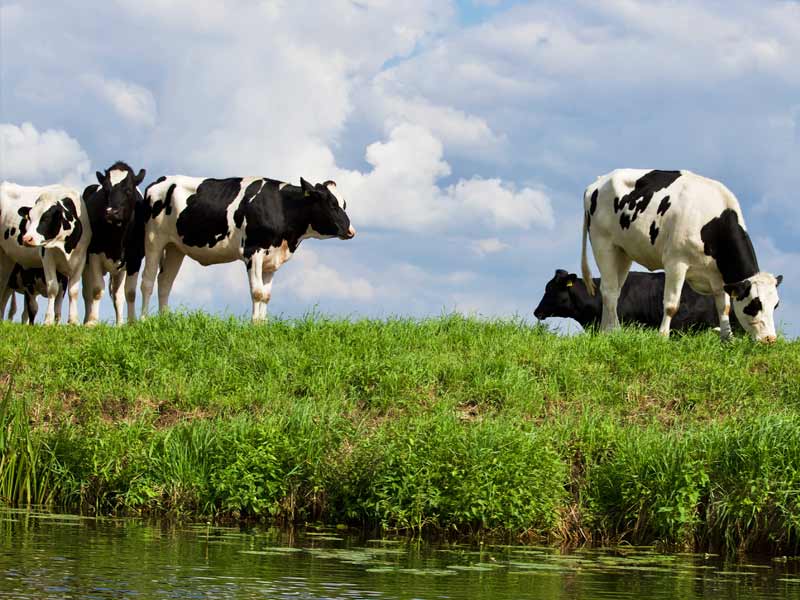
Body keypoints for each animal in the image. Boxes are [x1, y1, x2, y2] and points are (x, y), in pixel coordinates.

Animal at [0, 182, 90, 326]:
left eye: (46, 218)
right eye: (29, 217)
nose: (26, 238)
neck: (65, 246)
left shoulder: (80, 258)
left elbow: (73, 291)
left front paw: (73, 321)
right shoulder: (47, 257)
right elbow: (52, 288)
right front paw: (48, 321)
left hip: (8, 258)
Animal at [83, 159, 148, 324]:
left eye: (129, 190)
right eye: (106, 190)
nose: (112, 212)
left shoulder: (135, 259)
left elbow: (129, 293)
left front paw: (131, 322)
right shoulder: (93, 254)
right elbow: (96, 290)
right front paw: (92, 322)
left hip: (120, 270)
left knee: (118, 295)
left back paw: (119, 324)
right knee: (86, 292)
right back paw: (85, 320)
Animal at [142, 176, 358, 322]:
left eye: (344, 203)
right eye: (331, 203)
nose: (351, 231)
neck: (282, 207)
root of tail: (160, 181)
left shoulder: (271, 258)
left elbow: (267, 295)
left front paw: (262, 325)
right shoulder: (253, 251)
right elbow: (257, 292)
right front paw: (254, 326)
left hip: (175, 247)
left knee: (165, 282)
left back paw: (164, 320)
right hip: (154, 239)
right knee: (148, 281)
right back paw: (143, 321)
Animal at [580, 169, 780, 344]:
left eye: (776, 305)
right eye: (755, 305)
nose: (770, 339)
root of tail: (598, 182)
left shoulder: (717, 276)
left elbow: (724, 307)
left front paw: (727, 338)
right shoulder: (676, 263)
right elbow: (671, 305)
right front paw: (662, 336)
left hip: (622, 251)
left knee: (615, 290)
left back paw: (606, 332)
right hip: (603, 243)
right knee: (609, 290)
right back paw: (614, 331)